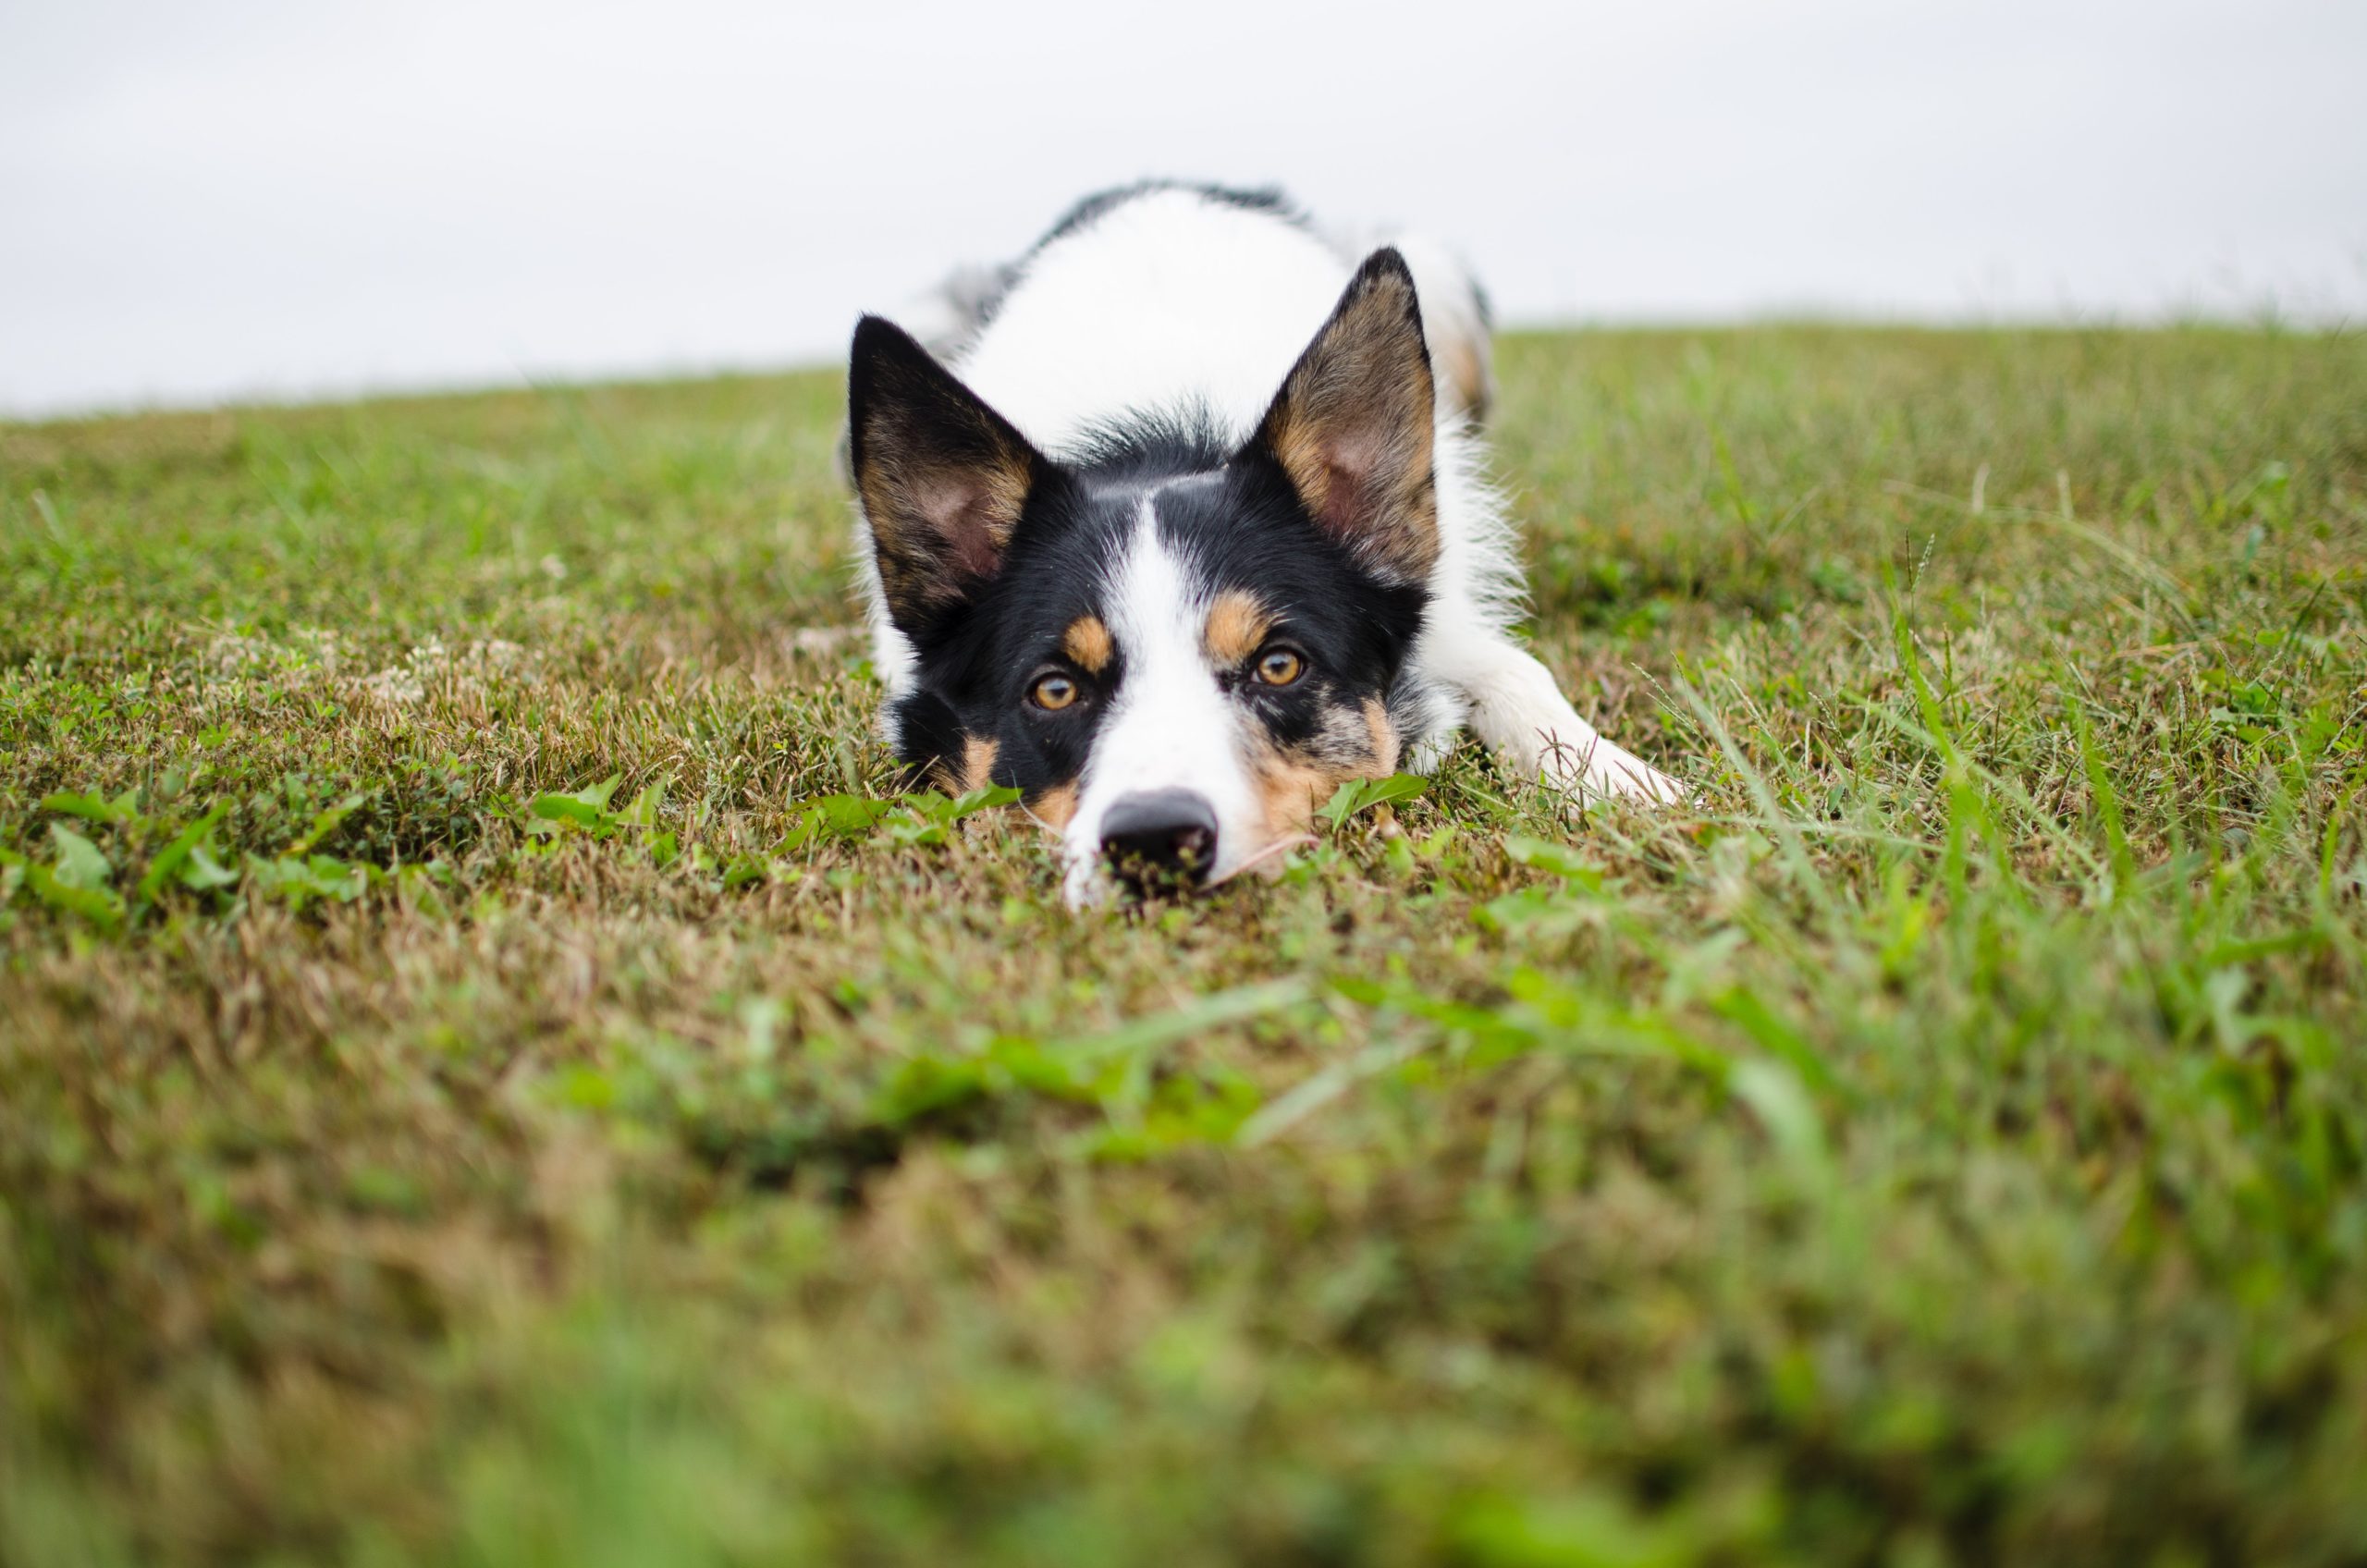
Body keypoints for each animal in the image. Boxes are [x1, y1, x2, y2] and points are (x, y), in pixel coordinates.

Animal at [852, 180, 1685, 909]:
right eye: (1053, 690)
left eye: (1280, 666)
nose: (1154, 843)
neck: (1160, 438)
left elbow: (1516, 673)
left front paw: (1619, 782)